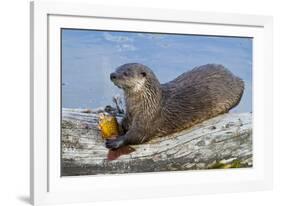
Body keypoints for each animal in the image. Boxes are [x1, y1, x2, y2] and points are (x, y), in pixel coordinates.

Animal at [105, 63, 243, 149]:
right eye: (117, 68)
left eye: (126, 73)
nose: (112, 74)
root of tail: (234, 76)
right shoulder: (129, 113)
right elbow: (124, 124)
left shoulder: (149, 118)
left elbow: (135, 135)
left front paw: (116, 142)